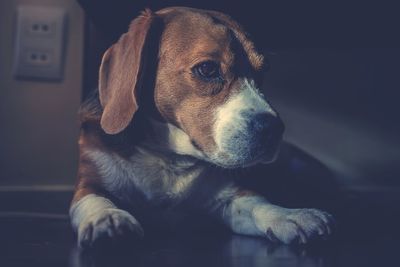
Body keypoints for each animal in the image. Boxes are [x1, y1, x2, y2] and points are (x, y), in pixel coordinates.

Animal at [69, 6, 334, 249]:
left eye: (262, 73)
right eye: (207, 69)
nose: (275, 128)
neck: (168, 156)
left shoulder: (227, 195)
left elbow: (256, 203)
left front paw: (290, 215)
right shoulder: (88, 183)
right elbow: (95, 199)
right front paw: (107, 217)